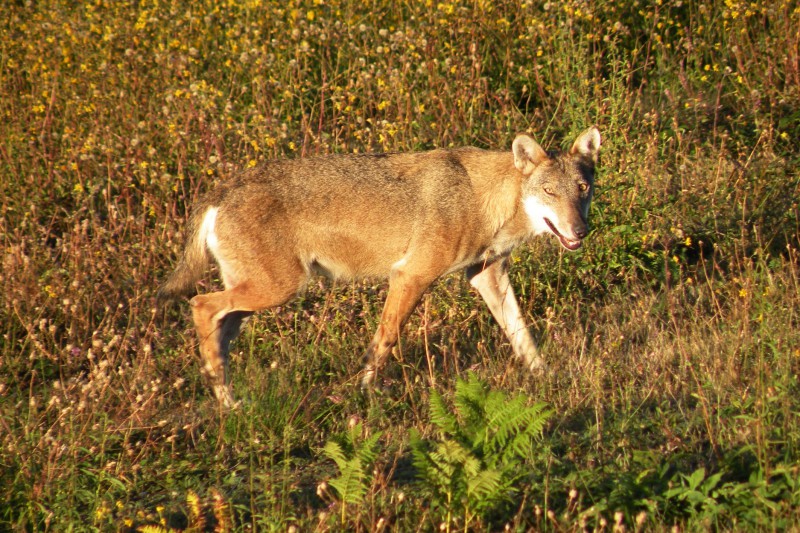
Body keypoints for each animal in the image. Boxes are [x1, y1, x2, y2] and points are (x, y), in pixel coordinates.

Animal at [158, 128, 600, 404]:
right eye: (549, 192)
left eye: (582, 189)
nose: (581, 230)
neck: (486, 200)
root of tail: (220, 188)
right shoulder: (410, 275)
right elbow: (384, 340)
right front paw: (365, 393)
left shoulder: (487, 276)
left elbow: (523, 336)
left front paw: (548, 378)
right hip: (277, 290)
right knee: (199, 304)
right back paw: (226, 402)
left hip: (253, 302)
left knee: (216, 328)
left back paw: (228, 399)